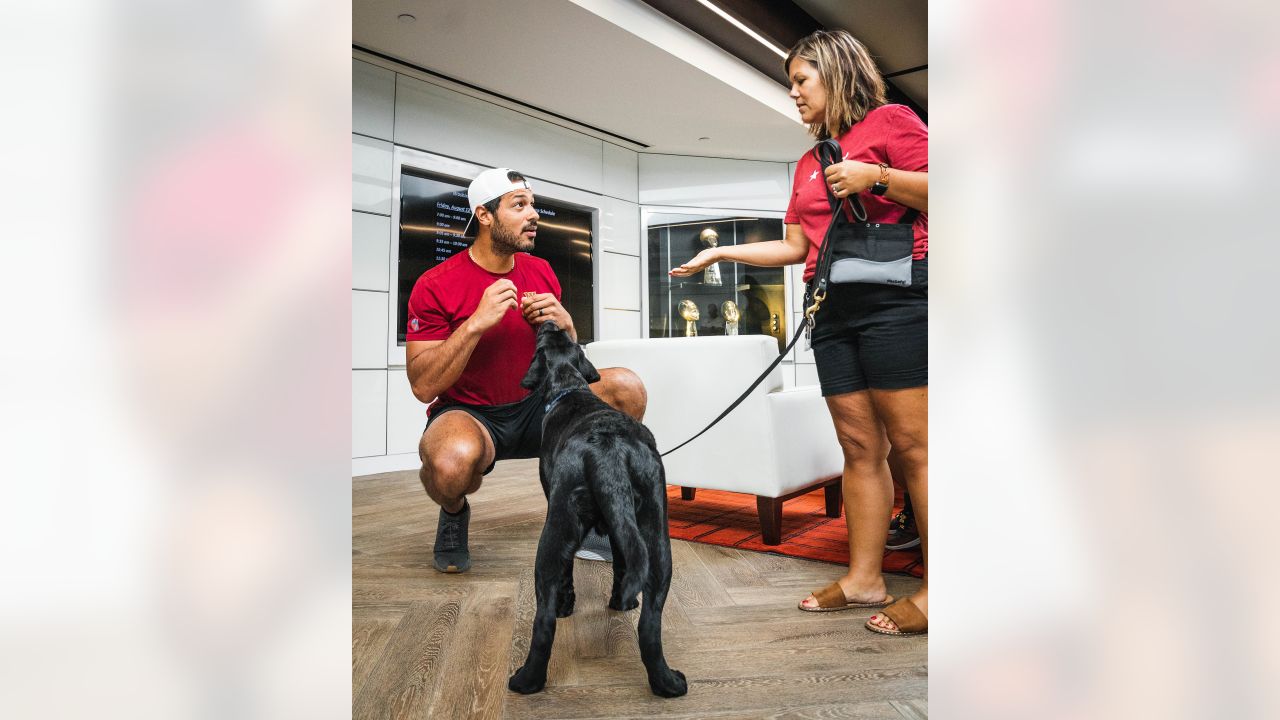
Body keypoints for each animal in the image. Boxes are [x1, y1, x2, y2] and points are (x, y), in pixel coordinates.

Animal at [509, 320, 691, 696]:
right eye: (562, 336)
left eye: (543, 338)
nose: (551, 321)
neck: (570, 387)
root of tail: (608, 450)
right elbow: (621, 562)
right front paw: (622, 602)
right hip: (657, 540)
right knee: (650, 626)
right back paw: (667, 682)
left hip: (555, 532)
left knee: (543, 621)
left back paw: (526, 680)